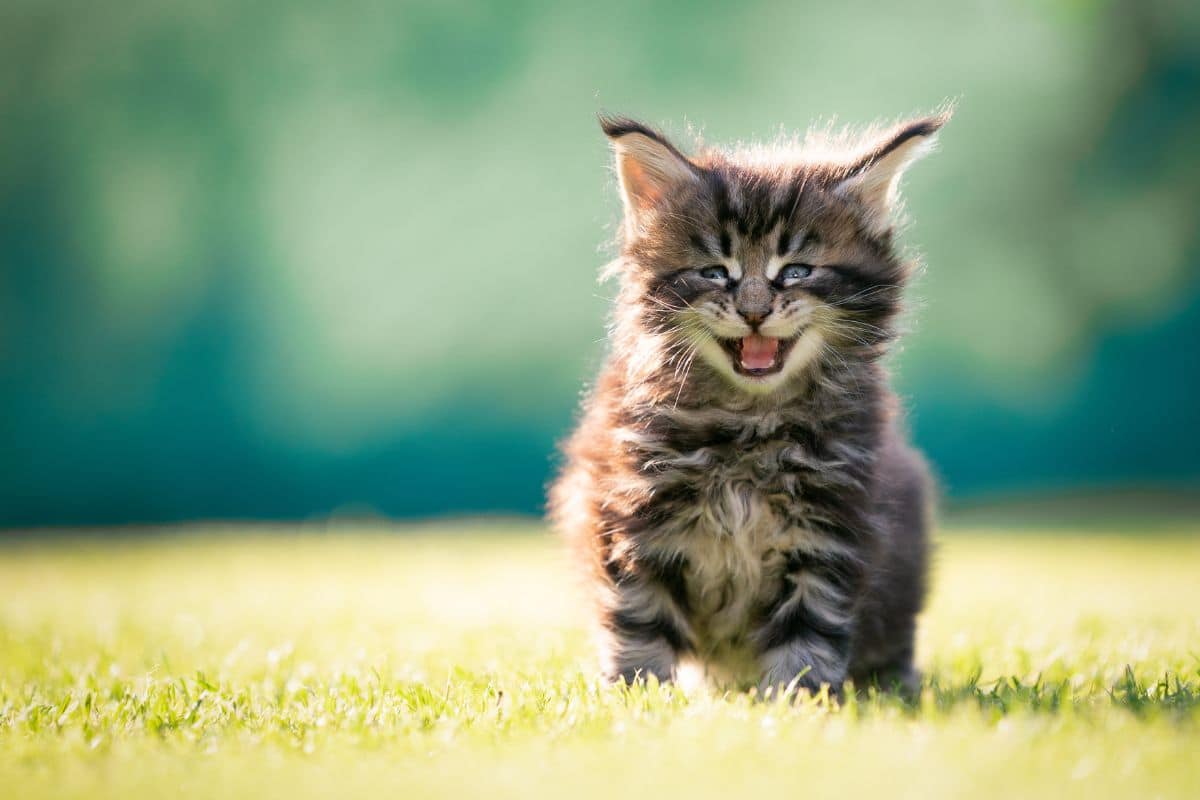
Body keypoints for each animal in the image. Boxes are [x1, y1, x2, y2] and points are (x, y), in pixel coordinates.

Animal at [547, 110, 945, 695]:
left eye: (796, 270)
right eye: (716, 272)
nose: (754, 311)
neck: (749, 421)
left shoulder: (828, 530)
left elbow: (809, 628)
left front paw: (798, 699)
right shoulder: (632, 513)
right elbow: (638, 617)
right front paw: (637, 692)